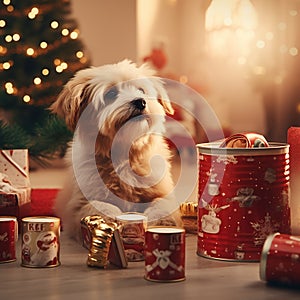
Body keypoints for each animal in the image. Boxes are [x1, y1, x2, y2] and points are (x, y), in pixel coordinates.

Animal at [51, 59, 183, 240]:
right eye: (111, 94)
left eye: (141, 90)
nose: (140, 101)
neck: (124, 154)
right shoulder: (79, 204)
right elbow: (101, 207)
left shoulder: (163, 192)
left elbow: (162, 204)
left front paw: (161, 223)